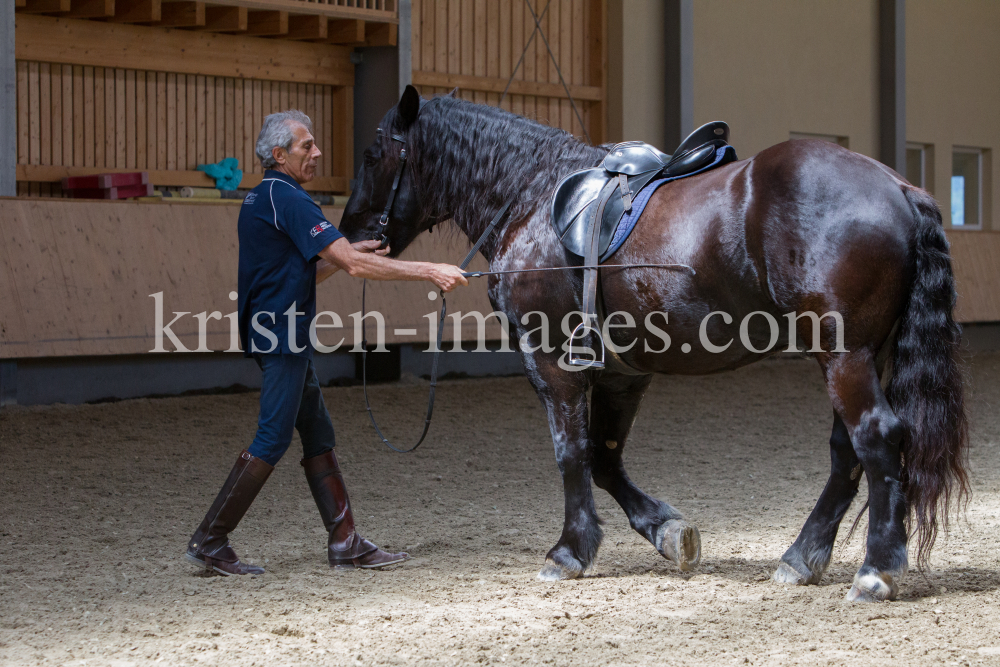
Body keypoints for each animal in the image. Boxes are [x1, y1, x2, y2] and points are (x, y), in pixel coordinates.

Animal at [338, 86, 968, 604]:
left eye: (371, 155)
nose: (351, 235)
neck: (532, 197)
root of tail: (899, 187)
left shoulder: (550, 359)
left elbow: (572, 453)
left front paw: (569, 551)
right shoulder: (623, 372)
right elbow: (604, 457)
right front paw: (667, 531)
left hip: (843, 355)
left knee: (876, 439)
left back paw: (876, 571)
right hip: (859, 355)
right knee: (847, 454)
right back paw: (801, 559)